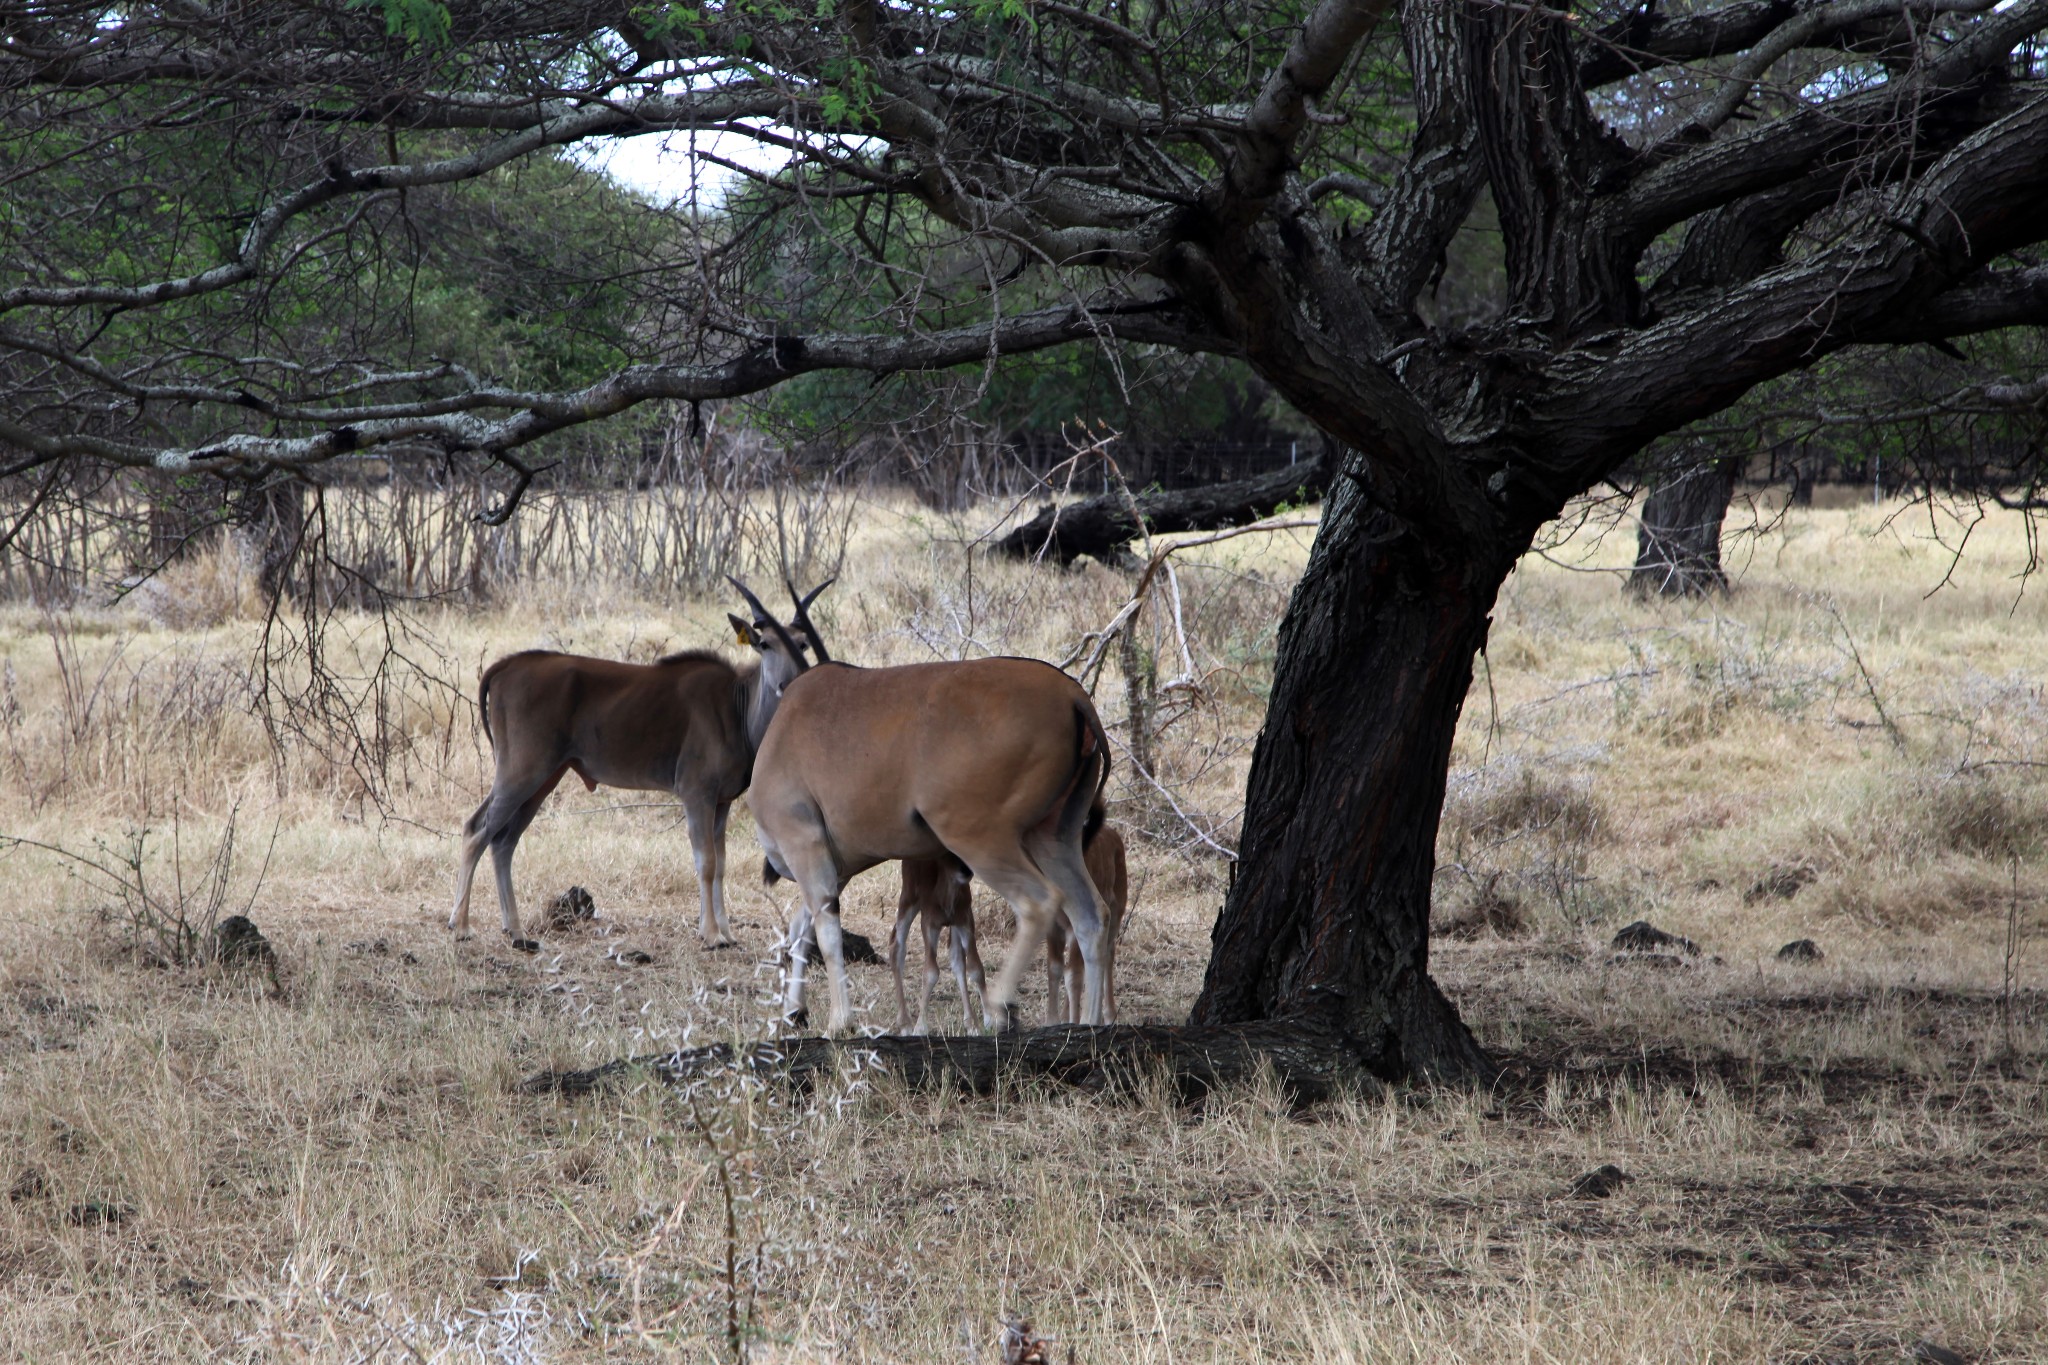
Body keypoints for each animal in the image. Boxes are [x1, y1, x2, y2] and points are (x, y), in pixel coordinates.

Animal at [450, 581, 831, 949]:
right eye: (764, 644)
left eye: (802, 643)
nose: (788, 683)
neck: (737, 707)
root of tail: (505, 666)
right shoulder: (696, 793)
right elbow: (706, 862)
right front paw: (710, 935)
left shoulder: (721, 801)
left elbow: (721, 864)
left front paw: (726, 932)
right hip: (522, 770)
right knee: (476, 829)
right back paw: (461, 926)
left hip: (543, 778)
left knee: (504, 841)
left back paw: (515, 932)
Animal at [753, 654, 1114, 1031]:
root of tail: (1073, 695)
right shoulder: (836, 869)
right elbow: (801, 927)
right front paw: (795, 1009)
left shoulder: (805, 846)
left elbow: (825, 933)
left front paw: (840, 1021)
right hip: (1054, 839)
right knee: (1092, 915)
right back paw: (1091, 1023)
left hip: (980, 839)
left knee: (1038, 903)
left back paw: (1000, 1003)